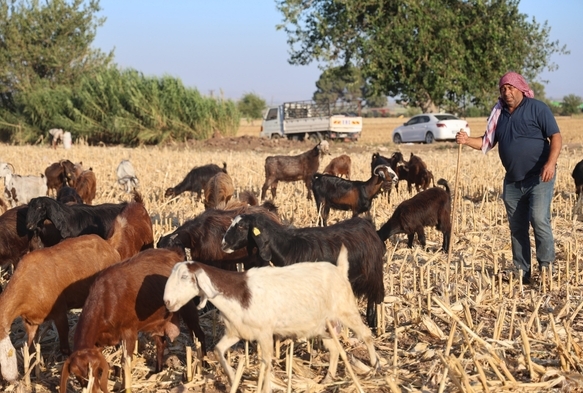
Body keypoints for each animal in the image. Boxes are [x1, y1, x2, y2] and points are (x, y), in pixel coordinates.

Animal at [60, 248, 206, 392]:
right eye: (77, 376)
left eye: (96, 371)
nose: (93, 388)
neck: (106, 299)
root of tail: (176, 254)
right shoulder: (100, 341)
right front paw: (115, 372)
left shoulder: (129, 331)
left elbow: (125, 362)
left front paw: (125, 385)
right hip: (159, 321)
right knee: (161, 343)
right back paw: (157, 371)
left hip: (188, 308)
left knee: (199, 334)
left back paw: (203, 363)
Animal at [165, 243, 384, 390]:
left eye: (184, 277)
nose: (167, 302)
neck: (240, 293)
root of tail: (339, 269)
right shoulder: (236, 332)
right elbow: (219, 350)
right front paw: (233, 378)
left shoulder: (264, 333)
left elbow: (266, 362)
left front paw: (266, 387)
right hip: (323, 325)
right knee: (334, 349)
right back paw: (328, 379)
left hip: (346, 310)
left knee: (366, 334)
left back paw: (374, 366)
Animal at [221, 211, 386, 328]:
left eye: (241, 226)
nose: (223, 244)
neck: (287, 248)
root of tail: (367, 224)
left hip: (374, 274)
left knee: (375, 297)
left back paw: (374, 323)